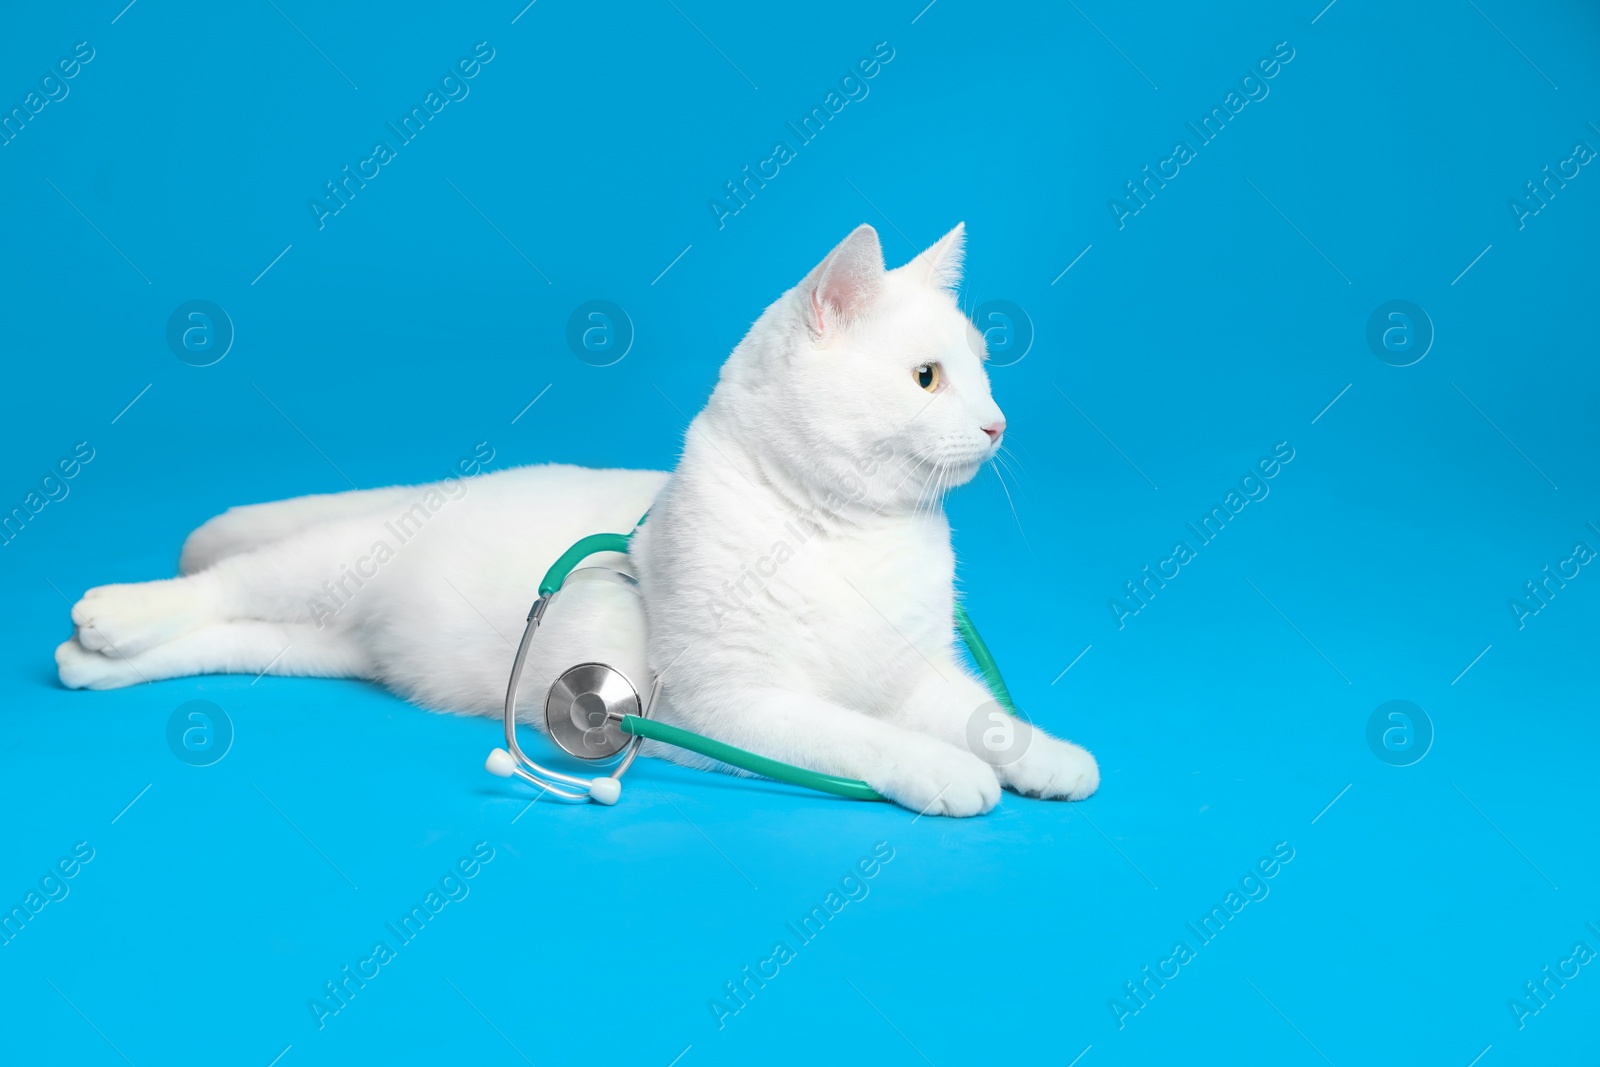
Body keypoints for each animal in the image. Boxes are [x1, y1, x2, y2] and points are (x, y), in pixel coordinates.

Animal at [53, 223, 1100, 819]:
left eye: (984, 373)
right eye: (928, 378)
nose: (999, 423)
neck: (852, 537)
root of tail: (426, 490)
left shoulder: (915, 673)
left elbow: (984, 715)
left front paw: (1046, 755)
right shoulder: (736, 705)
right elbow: (872, 738)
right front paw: (944, 771)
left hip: (320, 645)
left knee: (228, 633)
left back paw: (89, 662)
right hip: (323, 566)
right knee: (216, 584)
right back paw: (110, 615)